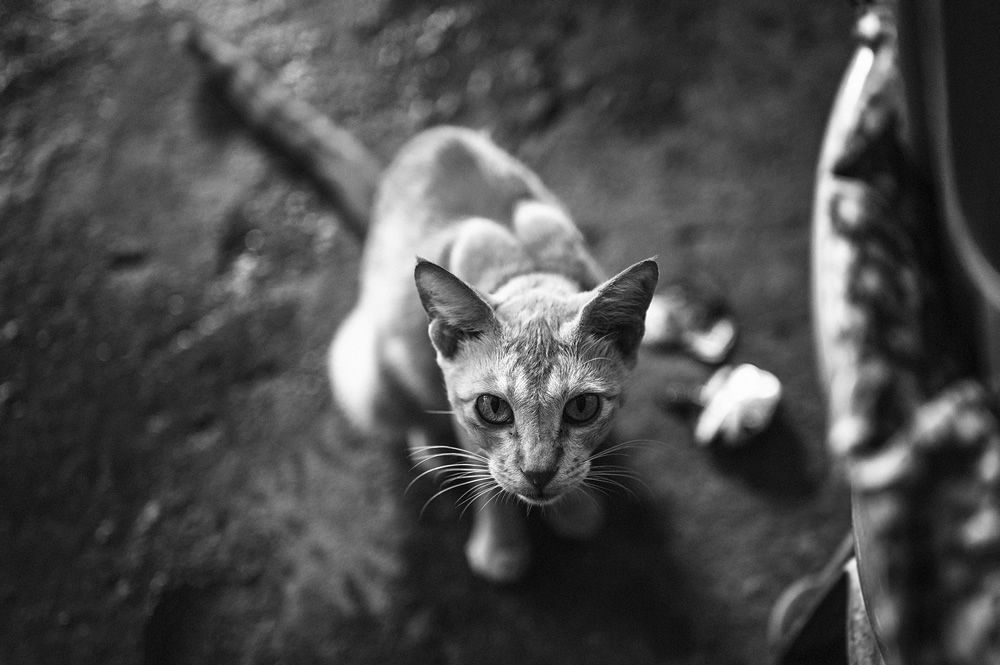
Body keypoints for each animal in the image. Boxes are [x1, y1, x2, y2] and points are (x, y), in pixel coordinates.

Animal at [326, 126, 656, 580]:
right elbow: (486, 479)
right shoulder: (464, 424)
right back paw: (430, 450)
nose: (538, 474)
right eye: (493, 408)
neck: (528, 272)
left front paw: (574, 509)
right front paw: (502, 549)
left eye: (583, 407)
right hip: (369, 374)